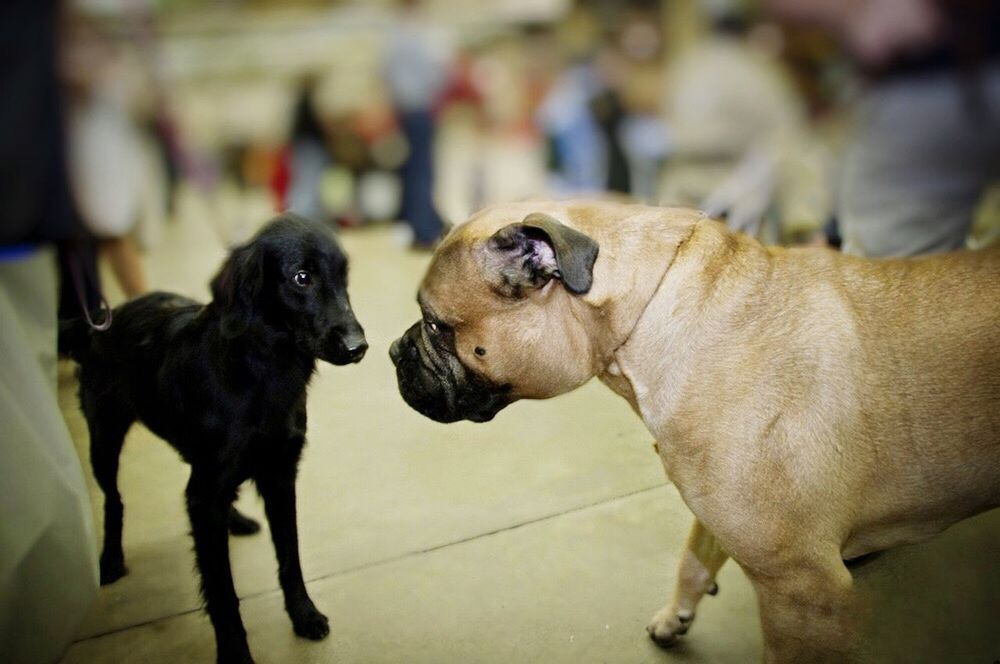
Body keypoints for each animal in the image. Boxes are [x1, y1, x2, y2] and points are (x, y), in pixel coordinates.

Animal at [58, 214, 366, 664]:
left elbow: (290, 557)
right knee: (114, 500)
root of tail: (100, 320)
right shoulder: (211, 491)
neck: (263, 372)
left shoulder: (278, 475)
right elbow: (222, 590)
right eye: (301, 278)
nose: (359, 347)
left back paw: (234, 518)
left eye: (344, 279)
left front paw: (303, 614)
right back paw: (111, 558)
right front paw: (235, 651)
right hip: (104, 439)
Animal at [388, 200, 1000, 660]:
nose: (393, 351)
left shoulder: (804, 592)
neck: (650, 312)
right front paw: (674, 615)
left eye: (437, 327)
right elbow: (693, 557)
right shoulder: (715, 510)